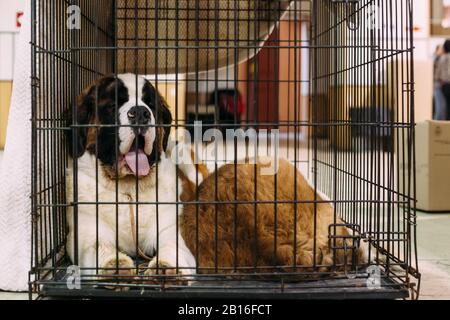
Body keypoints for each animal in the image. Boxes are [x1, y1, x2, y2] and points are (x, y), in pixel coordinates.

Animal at [66, 73, 200, 278]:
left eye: (150, 104)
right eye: (113, 105)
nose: (141, 113)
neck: (128, 189)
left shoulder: (169, 228)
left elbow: (172, 246)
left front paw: (167, 268)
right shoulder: (84, 231)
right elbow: (98, 245)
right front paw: (114, 265)